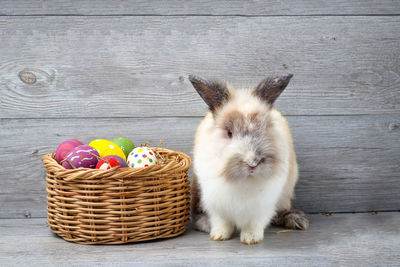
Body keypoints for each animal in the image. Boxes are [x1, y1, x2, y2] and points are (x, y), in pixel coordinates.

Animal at [189, 73, 308, 245]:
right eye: (229, 132)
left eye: (265, 128)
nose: (252, 163)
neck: (244, 181)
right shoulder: (215, 202)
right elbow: (221, 221)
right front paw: (218, 235)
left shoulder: (262, 206)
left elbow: (255, 223)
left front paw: (251, 239)